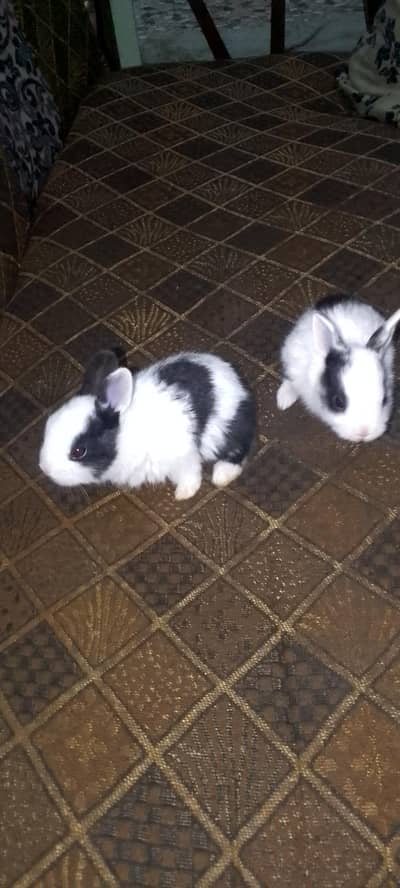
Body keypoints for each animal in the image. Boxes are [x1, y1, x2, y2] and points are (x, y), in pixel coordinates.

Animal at [39, 349, 256, 500]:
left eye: (78, 451)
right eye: (48, 425)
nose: (44, 468)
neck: (124, 434)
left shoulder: (183, 454)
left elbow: (190, 473)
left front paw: (185, 493)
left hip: (222, 432)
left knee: (237, 450)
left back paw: (222, 474)